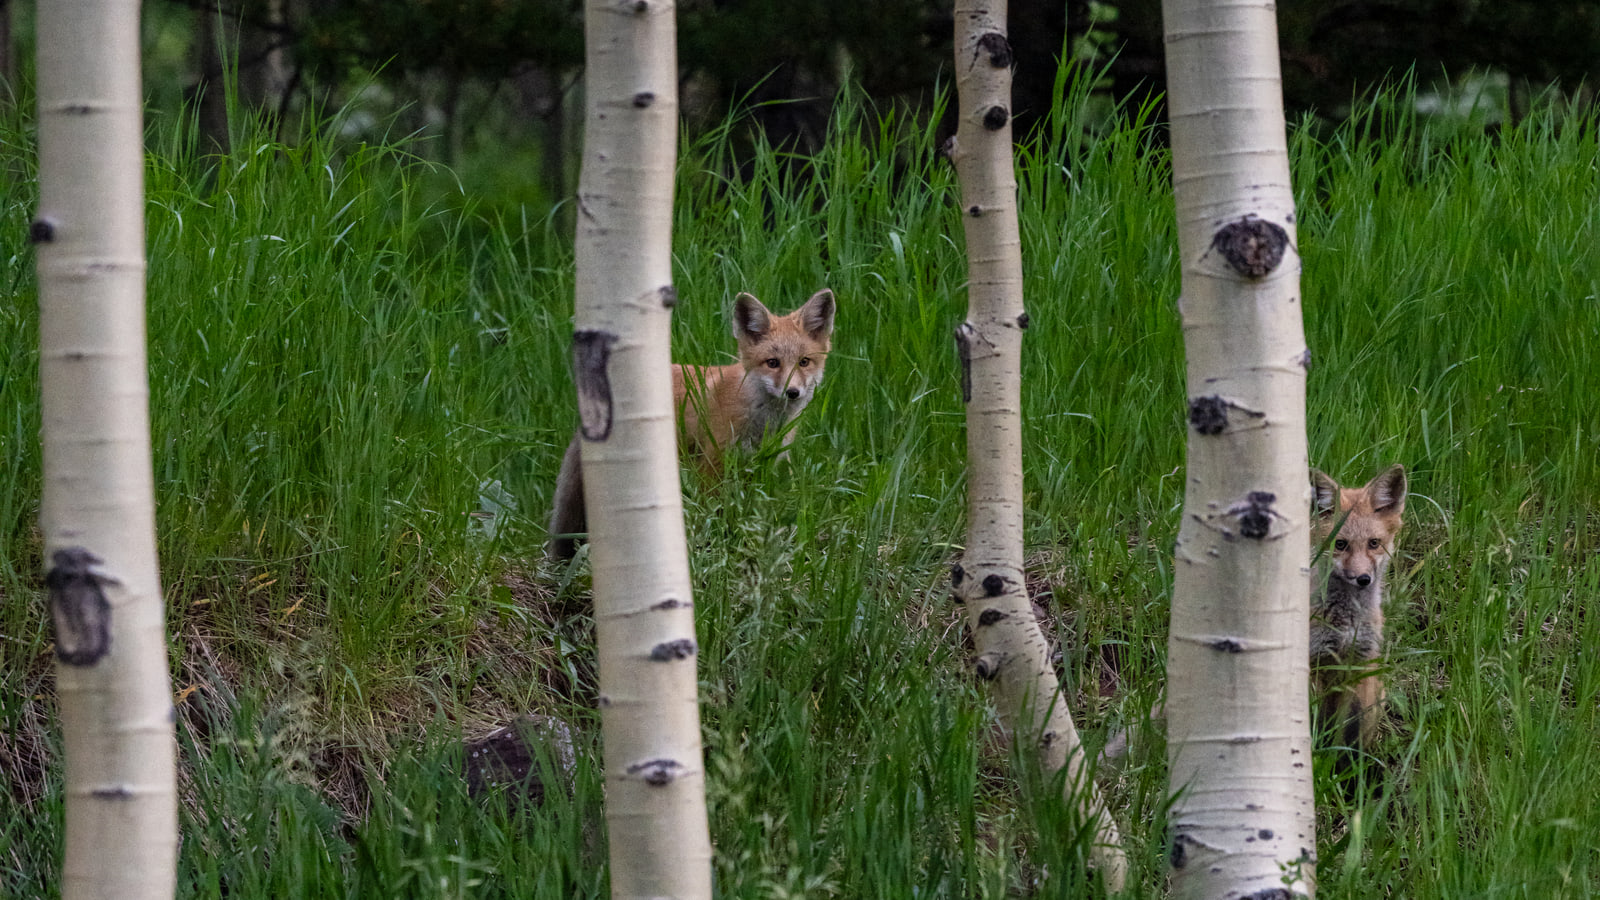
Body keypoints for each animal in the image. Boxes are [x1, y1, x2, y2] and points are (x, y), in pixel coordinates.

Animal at [547, 288, 837, 560]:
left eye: (804, 362)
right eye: (772, 363)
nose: (793, 392)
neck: (761, 422)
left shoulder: (760, 468)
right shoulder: (712, 464)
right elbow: (714, 515)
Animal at [1309, 463, 1407, 751]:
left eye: (1374, 543)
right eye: (1340, 544)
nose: (1363, 579)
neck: (1346, 623)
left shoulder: (1359, 666)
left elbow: (1350, 735)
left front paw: (1351, 762)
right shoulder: (1316, 663)